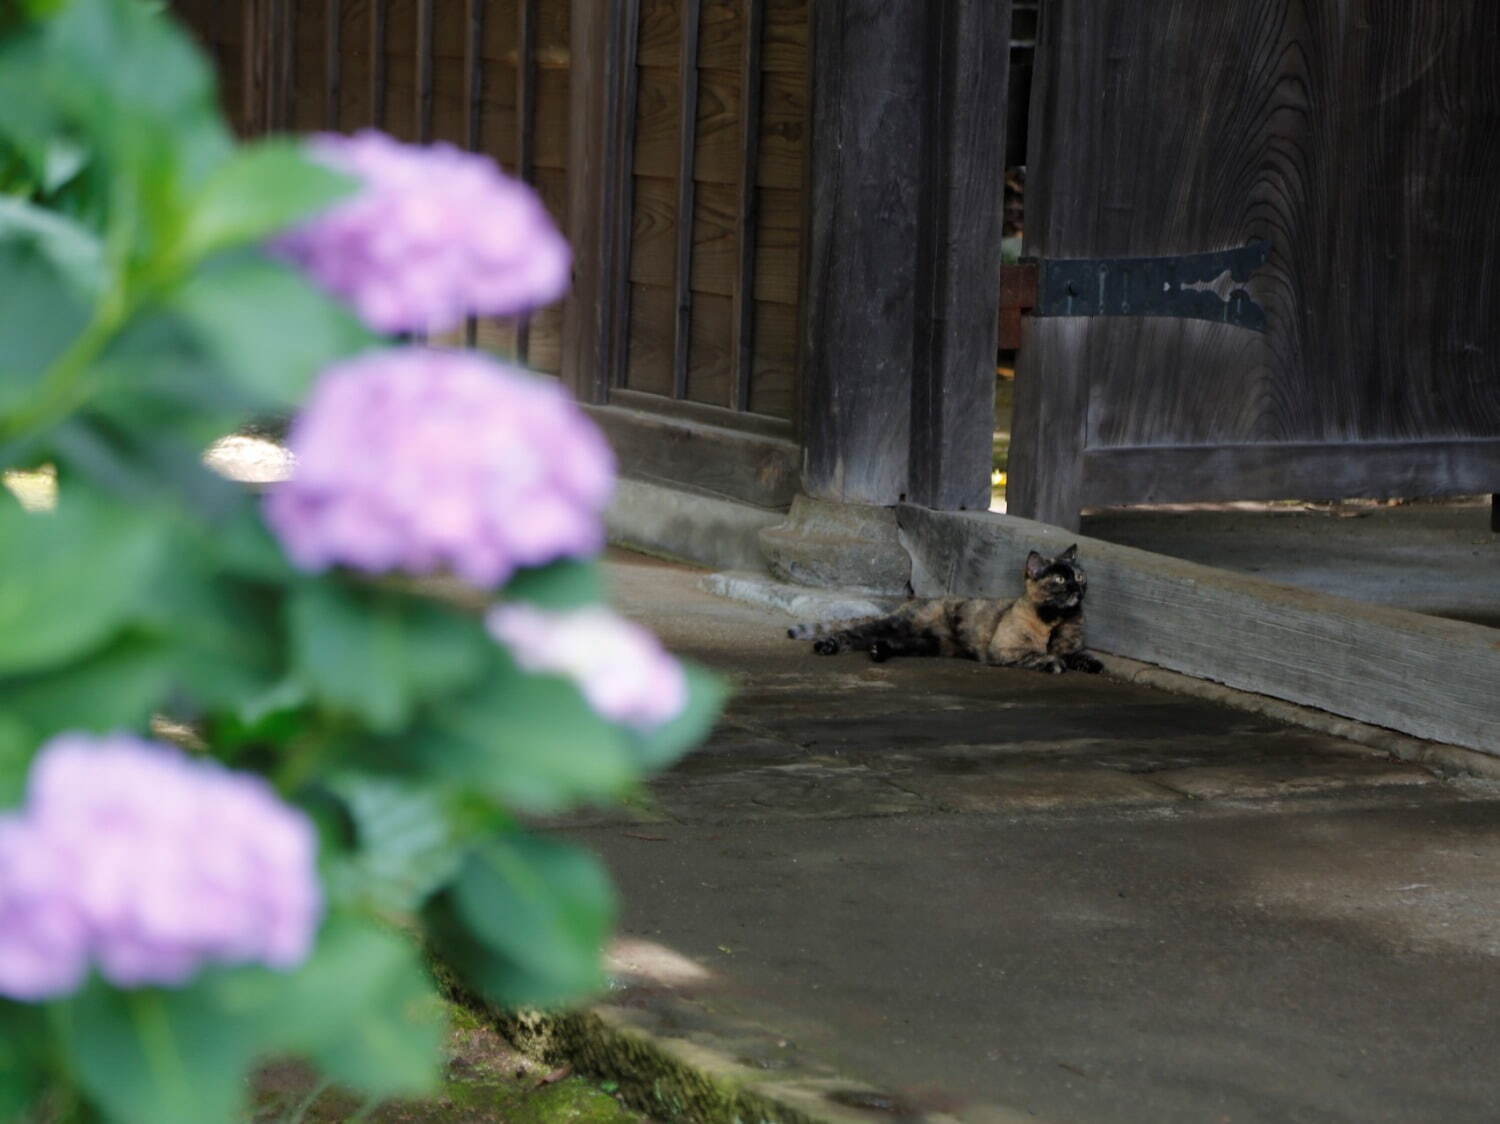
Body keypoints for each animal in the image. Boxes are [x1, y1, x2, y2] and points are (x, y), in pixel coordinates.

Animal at [786, 546, 1104, 675]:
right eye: (1060, 579)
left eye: (1080, 576)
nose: (1077, 588)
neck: (1056, 621)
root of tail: (913, 601)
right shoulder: (1005, 649)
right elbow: (1037, 655)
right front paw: (1052, 662)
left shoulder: (1072, 646)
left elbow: (1079, 654)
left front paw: (1092, 664)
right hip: (897, 626)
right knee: (851, 634)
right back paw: (827, 645)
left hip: (929, 644)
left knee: (889, 643)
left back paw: (879, 652)